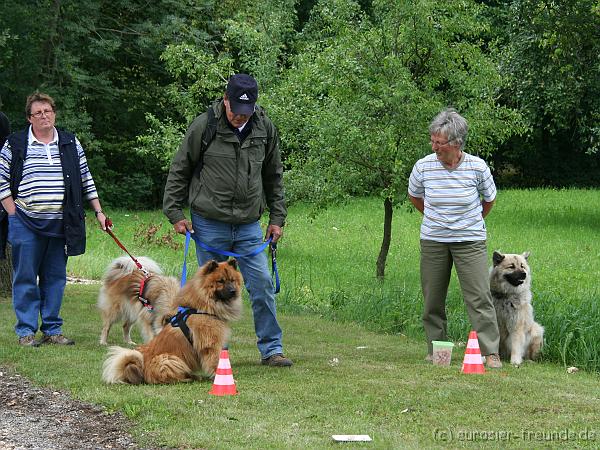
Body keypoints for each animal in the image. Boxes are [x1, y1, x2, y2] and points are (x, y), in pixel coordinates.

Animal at [102, 260, 243, 384]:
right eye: (221, 281)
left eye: (232, 280)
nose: (233, 291)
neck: (202, 306)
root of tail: (142, 367)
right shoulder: (211, 344)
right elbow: (215, 362)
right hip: (169, 359)